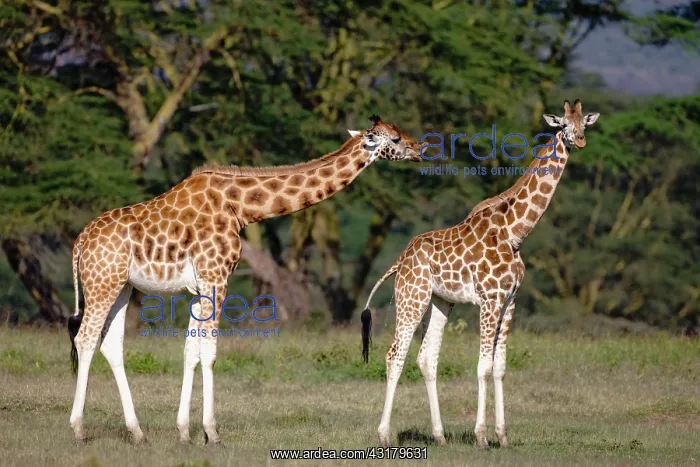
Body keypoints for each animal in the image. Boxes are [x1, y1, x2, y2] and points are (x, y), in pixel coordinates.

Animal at [67, 115, 421, 445]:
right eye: (394, 137)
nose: (419, 148)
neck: (241, 208)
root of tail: (80, 243)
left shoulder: (200, 285)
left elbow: (191, 351)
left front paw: (184, 432)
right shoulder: (216, 275)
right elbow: (209, 351)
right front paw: (212, 433)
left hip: (122, 287)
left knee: (110, 344)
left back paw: (137, 432)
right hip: (101, 282)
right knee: (85, 338)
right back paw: (79, 429)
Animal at [361, 100, 600, 449]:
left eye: (585, 123)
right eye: (564, 125)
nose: (580, 140)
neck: (515, 232)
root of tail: (400, 260)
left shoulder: (510, 301)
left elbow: (500, 367)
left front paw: (503, 436)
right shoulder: (490, 299)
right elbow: (483, 366)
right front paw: (482, 436)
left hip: (440, 301)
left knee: (426, 358)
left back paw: (440, 435)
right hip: (411, 296)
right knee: (395, 355)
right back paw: (384, 436)